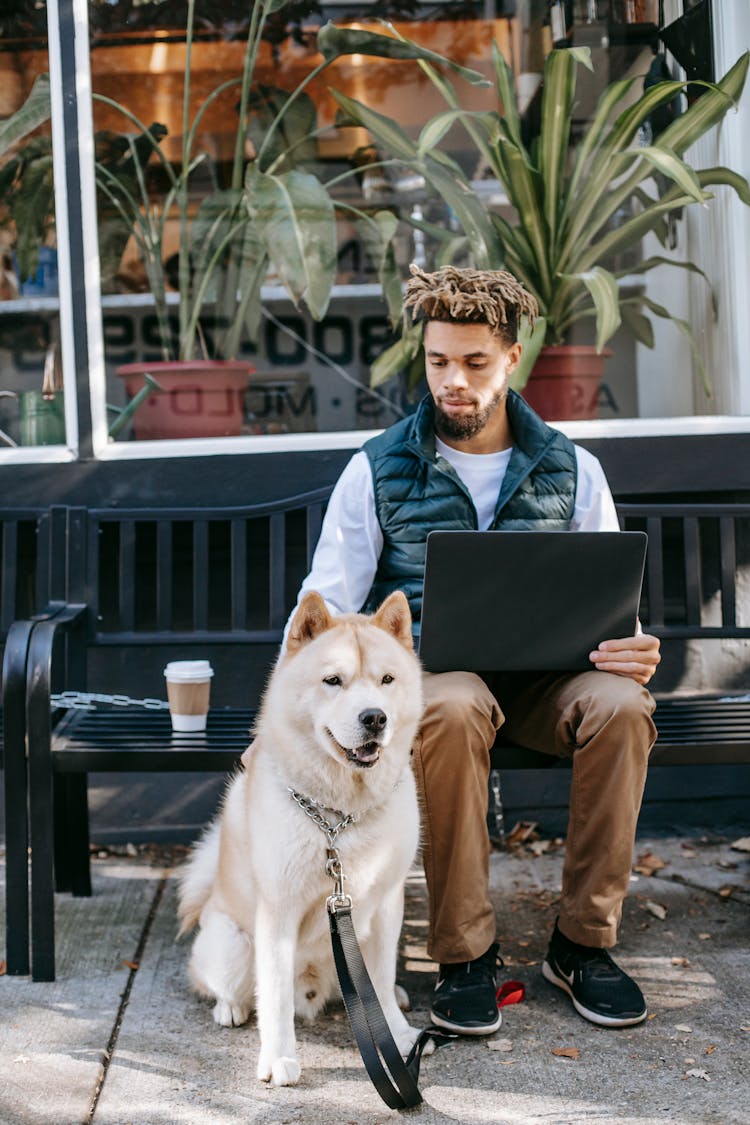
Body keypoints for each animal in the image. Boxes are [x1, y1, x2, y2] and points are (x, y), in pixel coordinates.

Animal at [174, 589, 422, 1089]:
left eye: (387, 680)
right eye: (333, 681)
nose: (375, 717)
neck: (342, 815)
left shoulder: (388, 902)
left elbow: (382, 976)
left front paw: (395, 1030)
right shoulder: (279, 910)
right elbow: (274, 997)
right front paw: (278, 1058)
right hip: (234, 945)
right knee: (227, 985)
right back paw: (230, 1007)